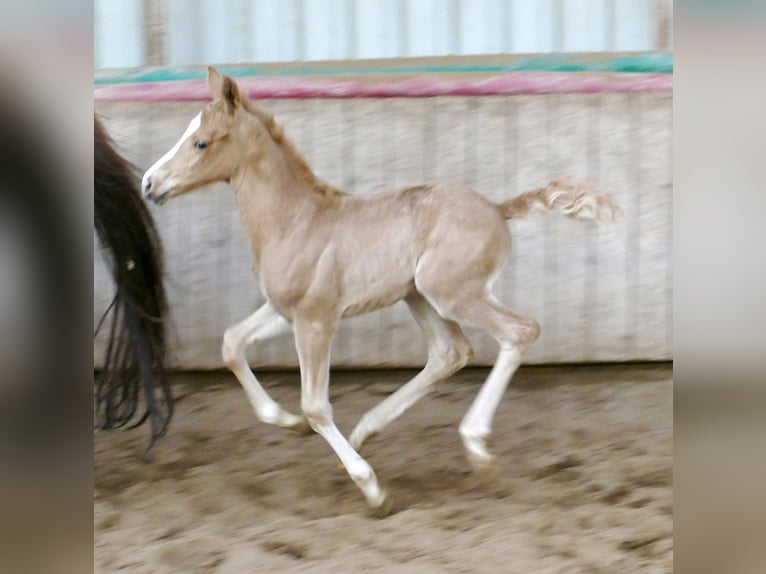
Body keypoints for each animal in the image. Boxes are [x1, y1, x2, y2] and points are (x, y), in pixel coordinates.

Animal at [141, 66, 618, 515]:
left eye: (201, 143)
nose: (149, 183)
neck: (295, 220)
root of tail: (498, 209)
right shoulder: (284, 311)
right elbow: (231, 344)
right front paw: (287, 421)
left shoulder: (316, 319)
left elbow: (316, 405)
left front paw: (370, 488)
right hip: (419, 297)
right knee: (450, 353)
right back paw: (366, 430)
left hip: (451, 294)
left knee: (519, 332)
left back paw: (475, 445)